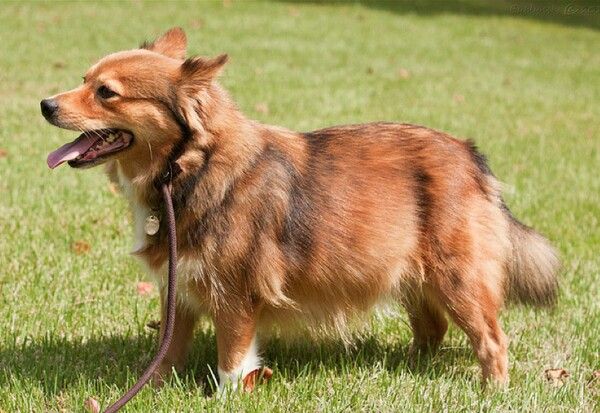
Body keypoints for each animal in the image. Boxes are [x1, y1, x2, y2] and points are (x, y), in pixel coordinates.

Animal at [41, 26, 556, 390]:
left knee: (492, 340)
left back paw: (493, 390)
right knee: (432, 328)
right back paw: (407, 368)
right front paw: (151, 390)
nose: (45, 104)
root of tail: (471, 155)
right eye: (83, 80)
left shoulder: (235, 295)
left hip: (459, 279)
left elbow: (232, 362)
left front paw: (227, 397)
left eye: (106, 92)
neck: (189, 168)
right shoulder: (180, 289)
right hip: (409, 274)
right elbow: (165, 354)